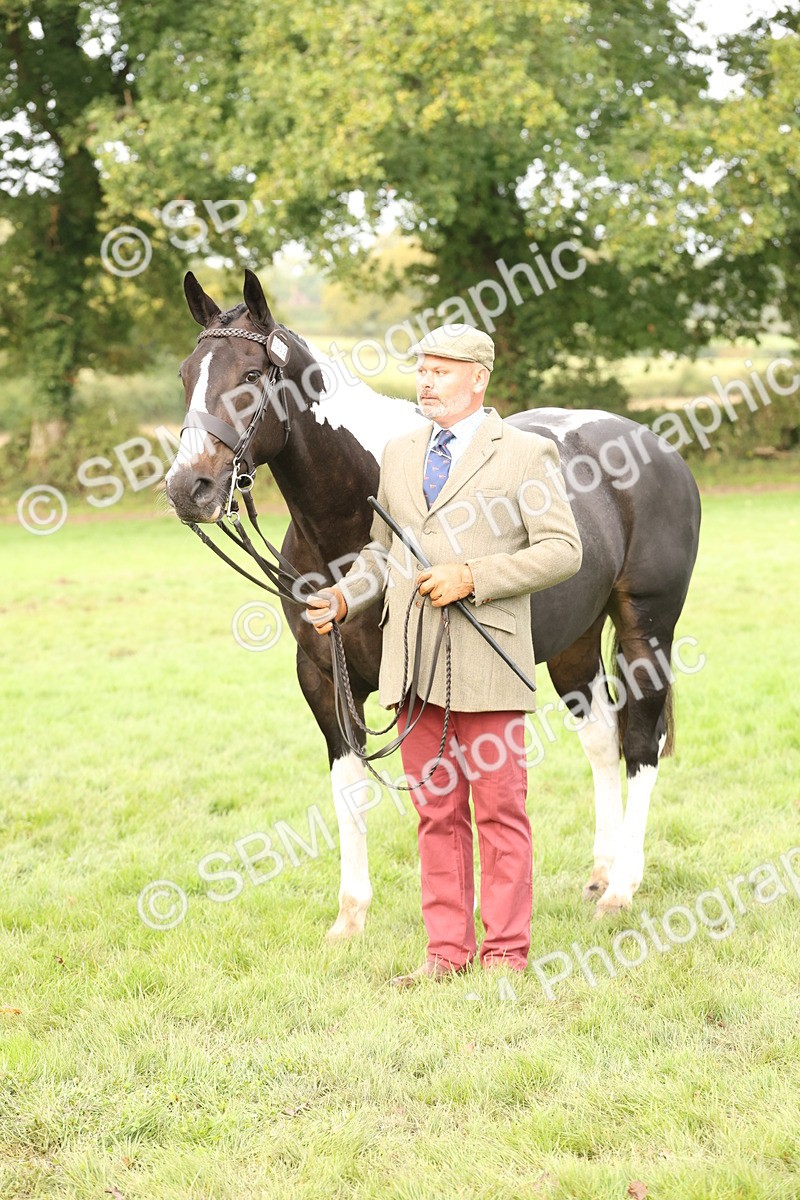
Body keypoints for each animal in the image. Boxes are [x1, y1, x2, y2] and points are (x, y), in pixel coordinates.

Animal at [165, 269, 702, 939]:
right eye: (186, 374)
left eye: (251, 374)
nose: (188, 488)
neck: (348, 524)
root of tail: (656, 446)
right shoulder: (322, 677)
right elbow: (351, 787)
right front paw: (351, 917)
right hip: (573, 645)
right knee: (603, 738)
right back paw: (601, 874)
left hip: (646, 629)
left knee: (640, 744)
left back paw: (623, 887)